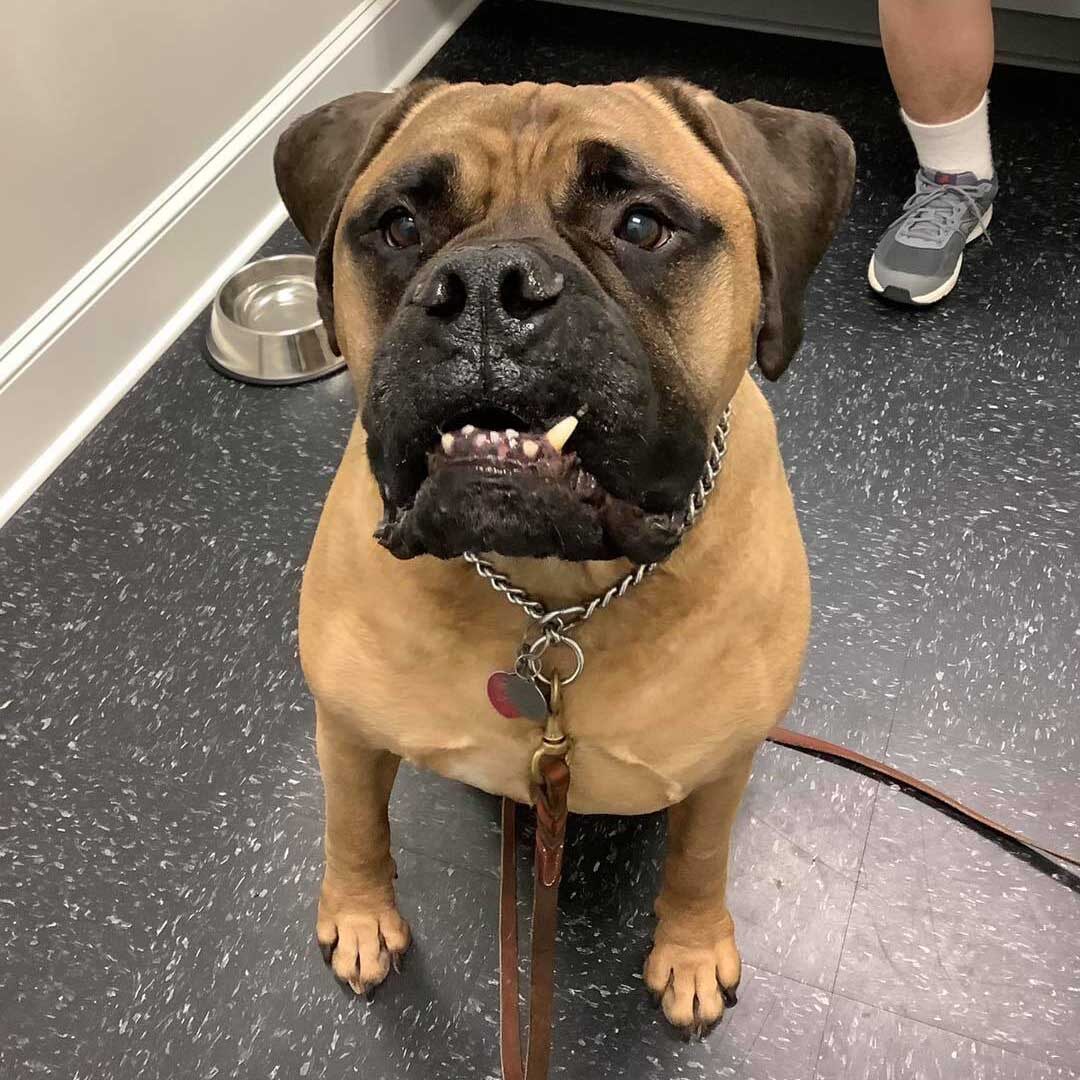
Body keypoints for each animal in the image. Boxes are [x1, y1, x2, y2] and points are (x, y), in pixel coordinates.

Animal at [274, 78, 855, 1036]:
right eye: (400, 225)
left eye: (641, 224)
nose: (485, 288)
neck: (552, 593)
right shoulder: (346, 730)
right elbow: (353, 825)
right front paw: (358, 916)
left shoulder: (720, 771)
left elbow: (699, 860)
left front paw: (691, 951)